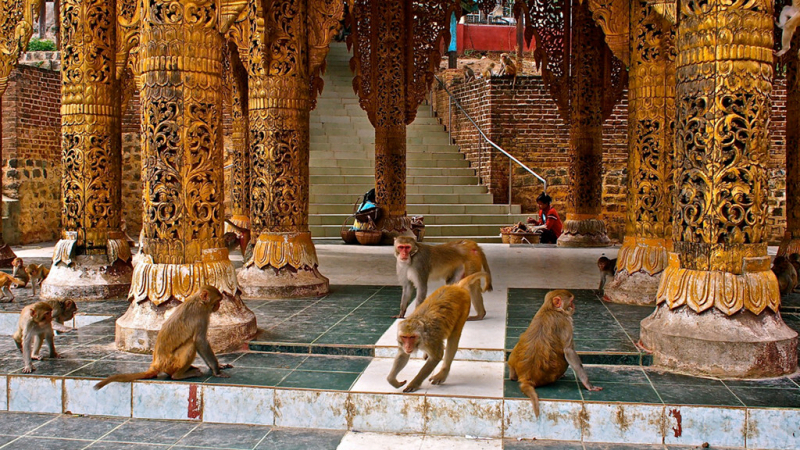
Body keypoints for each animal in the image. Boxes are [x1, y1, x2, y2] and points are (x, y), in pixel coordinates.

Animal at [94, 286, 233, 389]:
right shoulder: (201, 316)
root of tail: (157, 364)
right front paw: (216, 370)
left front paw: (218, 366)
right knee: (191, 345)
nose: (219, 306)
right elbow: (200, 341)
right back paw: (179, 375)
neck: (198, 301)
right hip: (171, 362)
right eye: (217, 301)